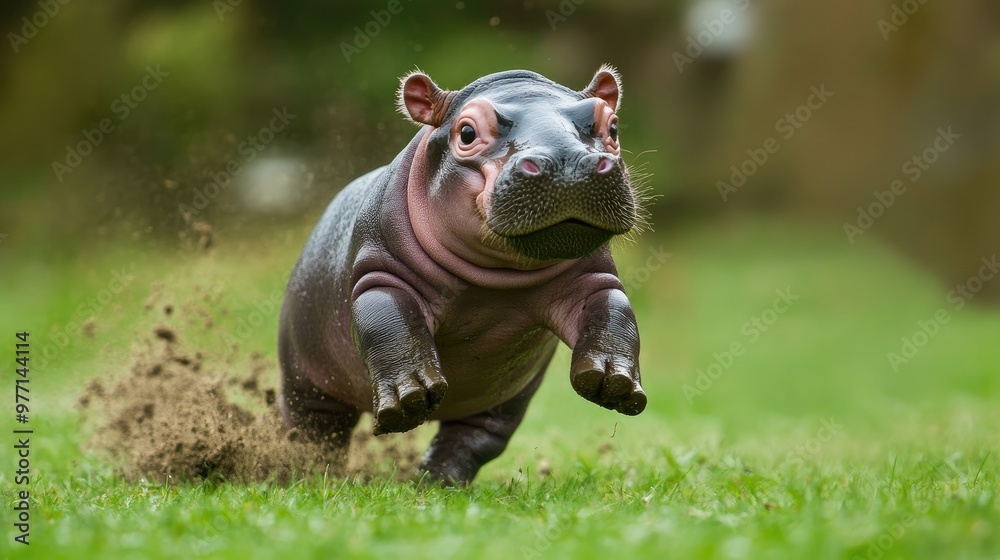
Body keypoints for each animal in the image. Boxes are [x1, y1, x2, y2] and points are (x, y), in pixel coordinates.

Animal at [278, 65, 647, 485]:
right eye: (466, 133)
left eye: (612, 126)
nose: (570, 162)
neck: (495, 278)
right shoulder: (380, 274)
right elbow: (390, 325)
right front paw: (410, 397)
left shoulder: (594, 277)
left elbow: (614, 313)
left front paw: (613, 381)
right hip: (305, 381)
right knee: (314, 431)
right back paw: (306, 474)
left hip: (503, 402)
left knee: (473, 438)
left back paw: (435, 482)